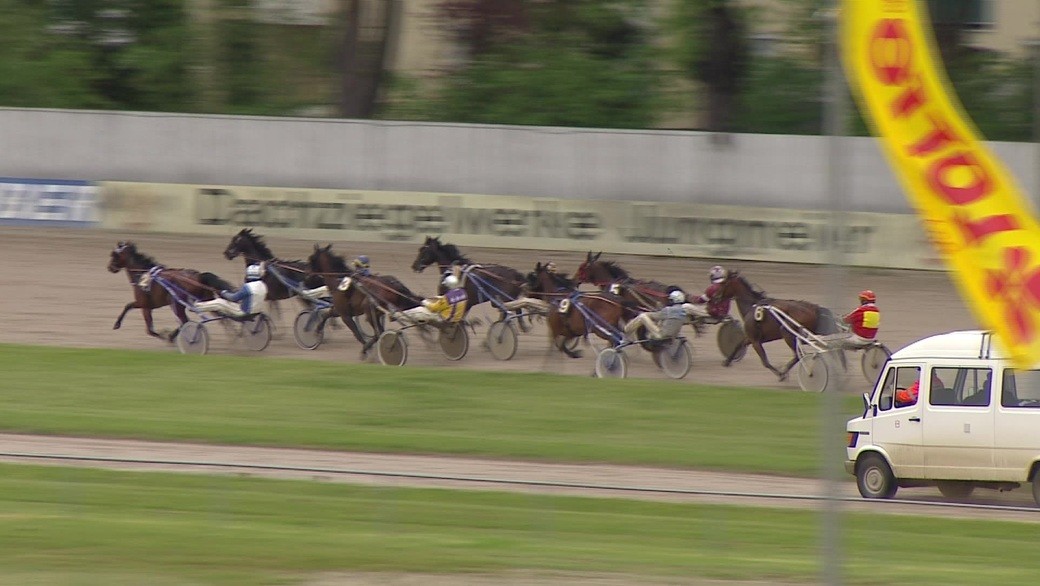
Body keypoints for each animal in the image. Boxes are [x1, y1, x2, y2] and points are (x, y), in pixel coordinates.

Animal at [711, 270, 840, 380]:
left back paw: (787, 372)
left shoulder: (755, 341)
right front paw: (727, 361)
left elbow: (765, 362)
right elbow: (738, 345)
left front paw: (780, 374)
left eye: (723, 283)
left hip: (787, 333)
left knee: (798, 355)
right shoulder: (751, 338)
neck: (751, 306)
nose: (715, 297)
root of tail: (814, 308)